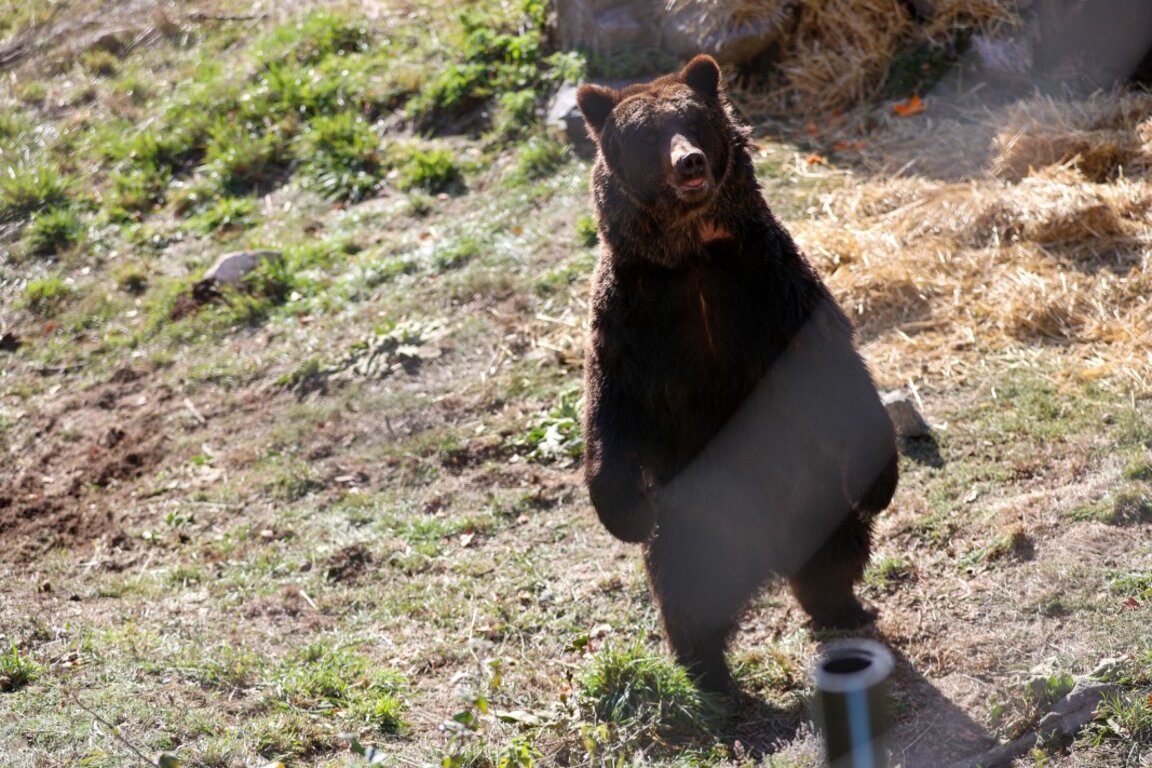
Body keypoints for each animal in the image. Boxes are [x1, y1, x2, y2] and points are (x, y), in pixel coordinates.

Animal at [577, 54, 899, 694]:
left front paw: (881, 483)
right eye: (648, 134)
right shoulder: (630, 320)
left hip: (817, 493)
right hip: (694, 523)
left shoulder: (776, 292)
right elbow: (610, 407)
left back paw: (844, 607)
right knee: (686, 593)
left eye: (694, 122)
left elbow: (840, 376)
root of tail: (767, 558)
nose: (690, 162)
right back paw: (709, 671)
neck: (695, 256)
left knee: (839, 552)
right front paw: (624, 515)